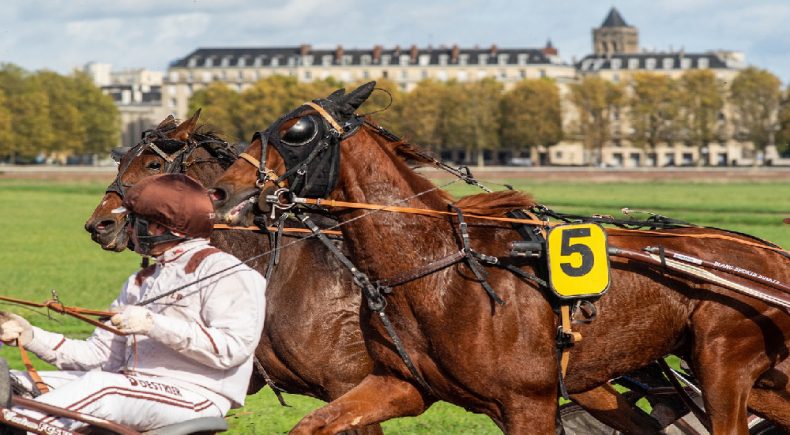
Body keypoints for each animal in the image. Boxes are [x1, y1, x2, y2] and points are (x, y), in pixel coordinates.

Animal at [210, 83, 790, 434]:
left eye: (297, 131)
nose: (221, 190)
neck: (439, 272)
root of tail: (767, 255)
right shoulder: (398, 384)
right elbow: (315, 422)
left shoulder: (528, 402)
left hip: (723, 362)